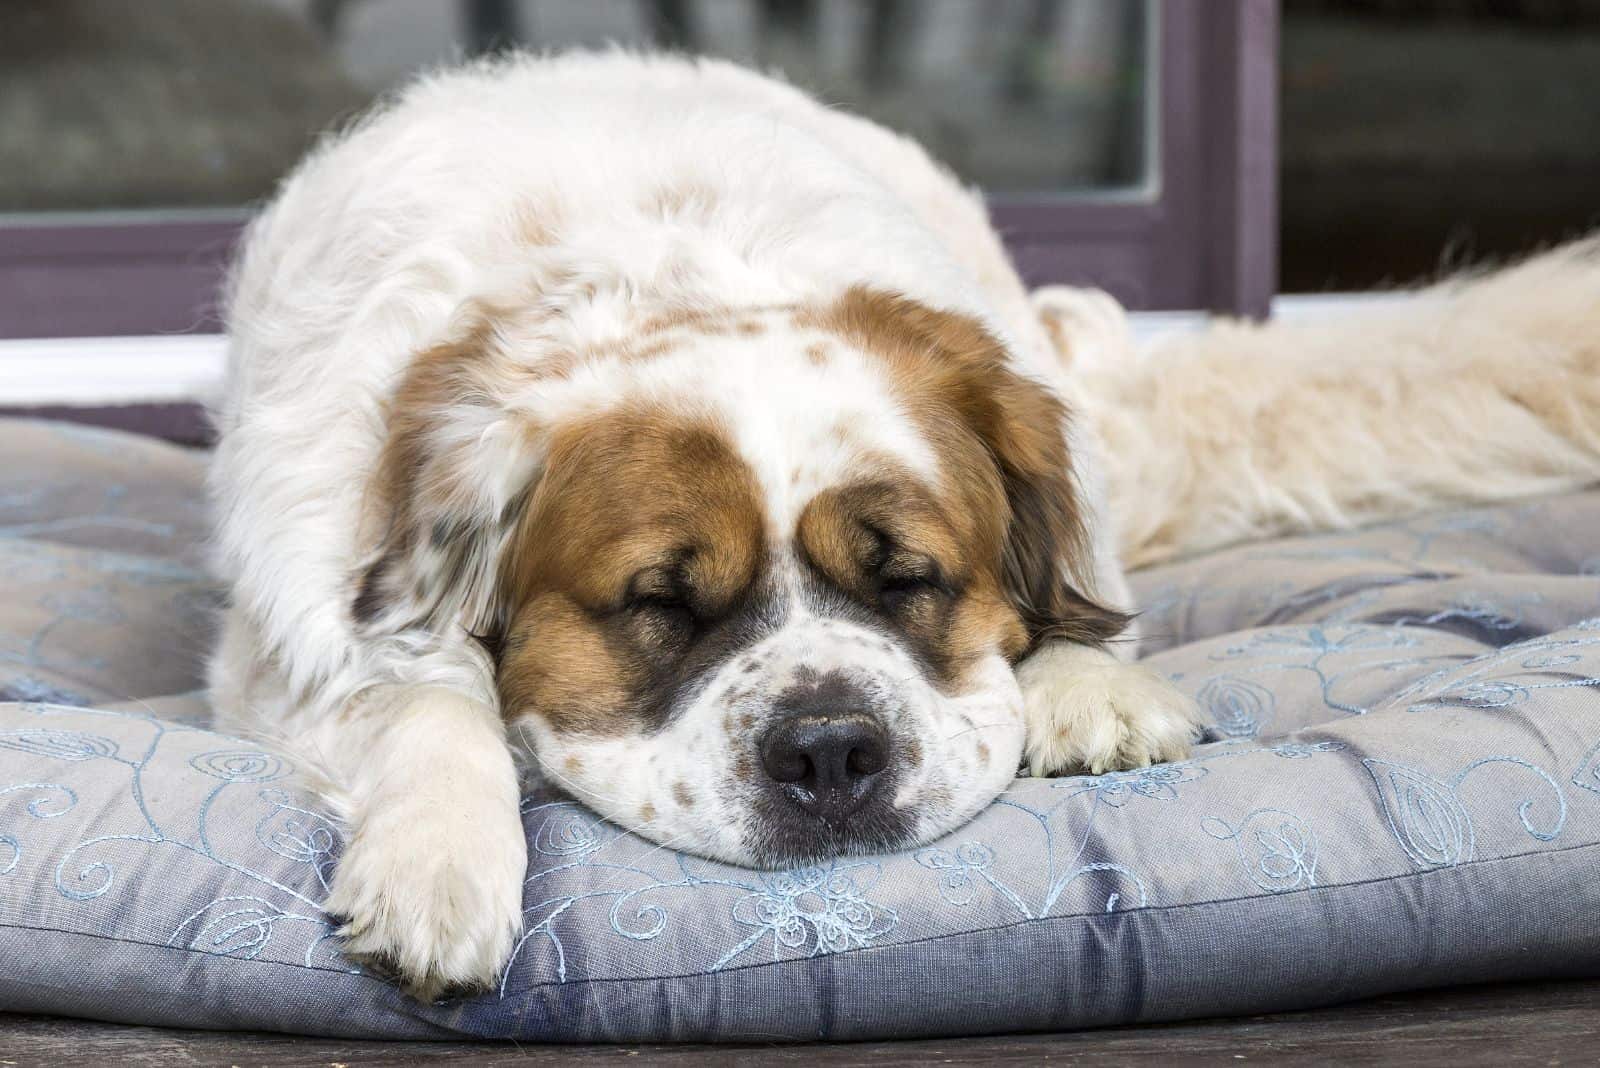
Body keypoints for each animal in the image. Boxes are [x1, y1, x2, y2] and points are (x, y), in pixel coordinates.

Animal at [209, 51, 1600, 1004]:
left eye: (909, 579)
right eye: (662, 604)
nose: (831, 752)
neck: (660, 268)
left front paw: (1087, 687)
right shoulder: (296, 642)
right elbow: (424, 699)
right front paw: (437, 865)